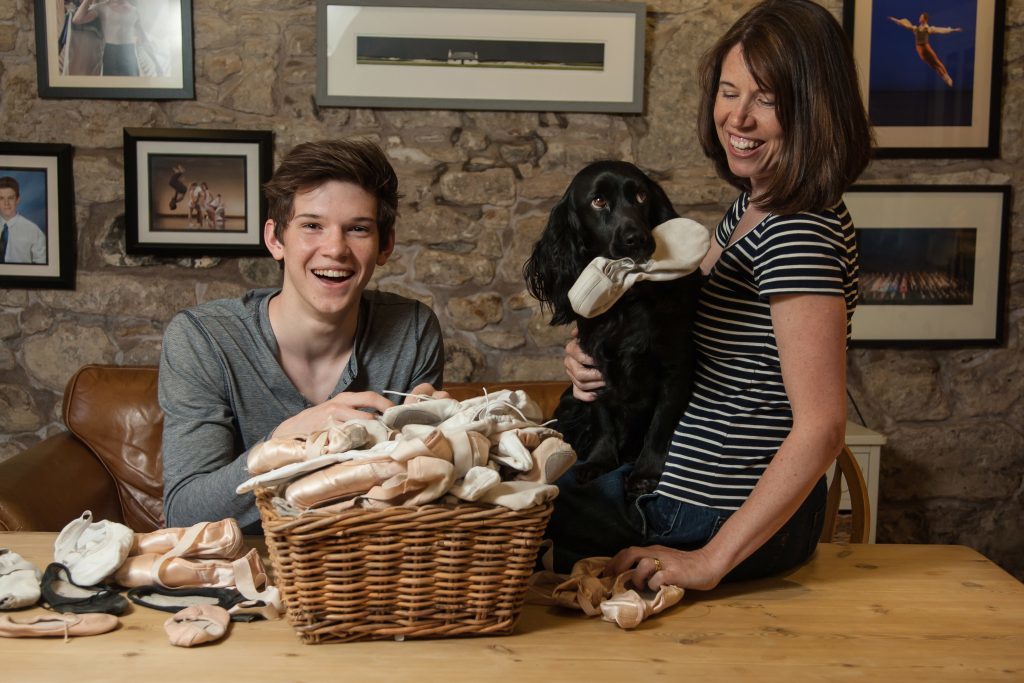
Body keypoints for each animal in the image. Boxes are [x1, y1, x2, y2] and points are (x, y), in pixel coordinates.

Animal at [524, 160, 700, 497]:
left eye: (642, 196)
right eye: (598, 201)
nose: (638, 239)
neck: (626, 301)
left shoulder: (675, 368)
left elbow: (660, 425)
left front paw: (646, 473)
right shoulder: (593, 365)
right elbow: (603, 416)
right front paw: (599, 460)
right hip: (571, 401)